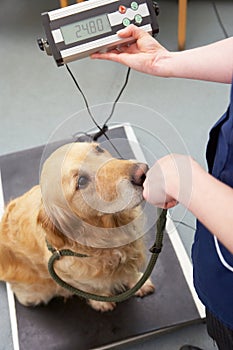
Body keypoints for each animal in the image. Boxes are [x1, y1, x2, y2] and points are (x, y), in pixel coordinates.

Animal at [0, 142, 155, 312]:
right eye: (81, 181)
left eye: (98, 149)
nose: (142, 172)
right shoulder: (66, 274)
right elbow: (91, 288)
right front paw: (101, 301)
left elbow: (130, 272)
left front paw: (139, 282)